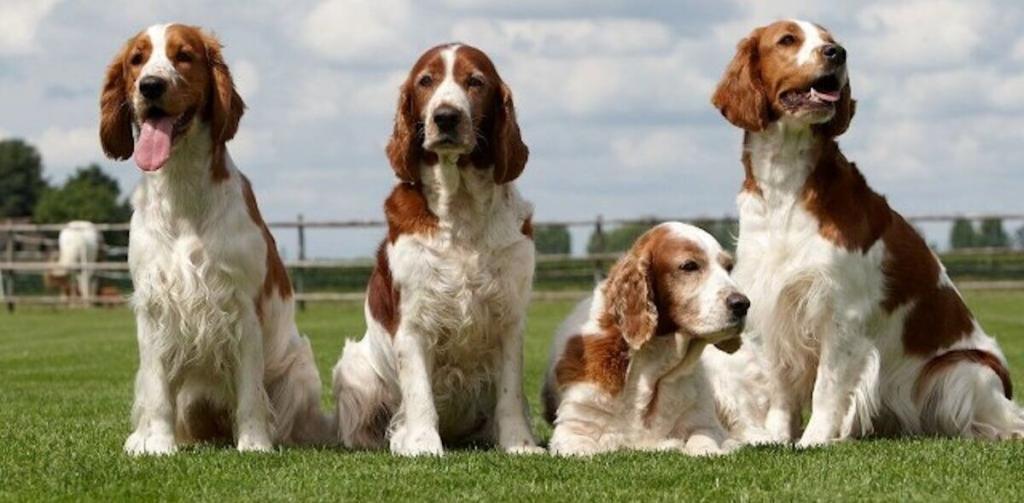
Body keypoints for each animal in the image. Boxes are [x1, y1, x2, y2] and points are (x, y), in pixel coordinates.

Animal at [98, 23, 331, 456]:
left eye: (184, 56)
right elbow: (157, 392)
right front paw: (158, 445)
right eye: (136, 59)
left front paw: (254, 443)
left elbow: (250, 393)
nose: (150, 86)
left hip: (300, 368)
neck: (183, 189)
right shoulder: (154, 307)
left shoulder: (242, 305)